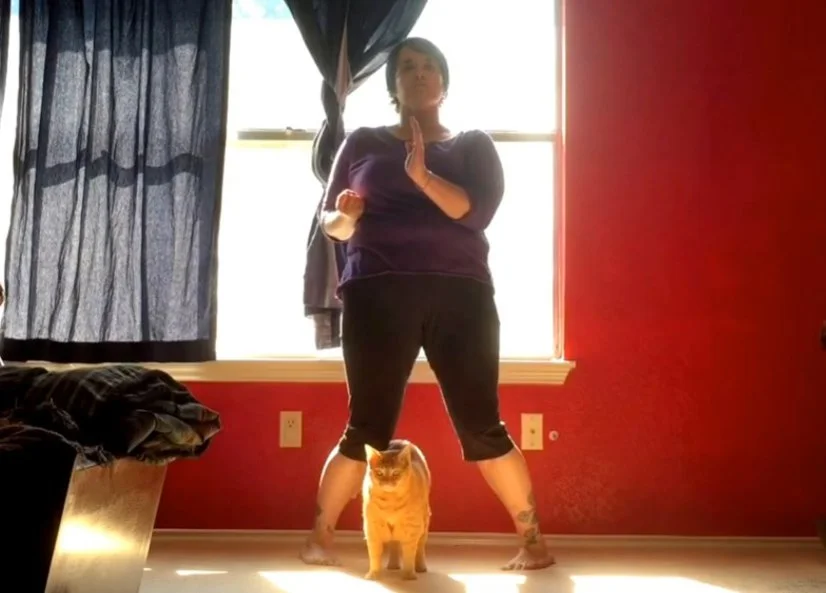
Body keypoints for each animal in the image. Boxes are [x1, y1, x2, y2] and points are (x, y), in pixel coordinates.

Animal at [362, 439, 431, 581]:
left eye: (396, 473)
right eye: (379, 473)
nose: (387, 482)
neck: (390, 501)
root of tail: (401, 441)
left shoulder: (412, 529)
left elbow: (409, 555)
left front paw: (409, 575)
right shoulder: (372, 527)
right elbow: (374, 554)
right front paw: (374, 574)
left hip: (424, 523)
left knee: (420, 547)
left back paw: (420, 567)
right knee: (394, 545)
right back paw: (393, 565)